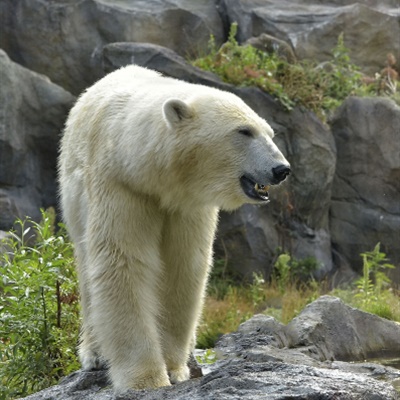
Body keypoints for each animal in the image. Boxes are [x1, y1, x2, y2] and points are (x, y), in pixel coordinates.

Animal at [57, 65, 290, 390]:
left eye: (269, 133)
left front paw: (175, 368)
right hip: (74, 195)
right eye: (244, 131)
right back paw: (95, 354)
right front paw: (146, 379)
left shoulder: (188, 204)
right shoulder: (120, 184)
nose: (282, 169)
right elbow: (123, 262)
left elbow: (183, 266)